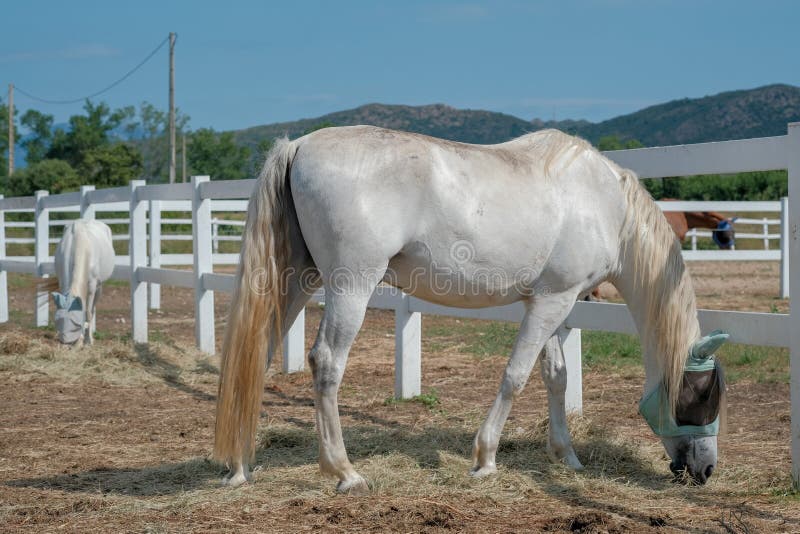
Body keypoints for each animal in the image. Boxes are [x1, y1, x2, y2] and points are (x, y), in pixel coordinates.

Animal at [216, 127, 728, 496]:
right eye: (704, 394)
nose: (706, 468)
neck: (604, 205)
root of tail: (298, 146)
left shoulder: (557, 303)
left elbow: (556, 377)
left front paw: (566, 455)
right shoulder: (552, 302)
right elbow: (516, 376)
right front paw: (485, 459)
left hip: (296, 282)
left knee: (255, 357)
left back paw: (240, 466)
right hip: (350, 287)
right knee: (325, 363)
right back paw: (345, 472)